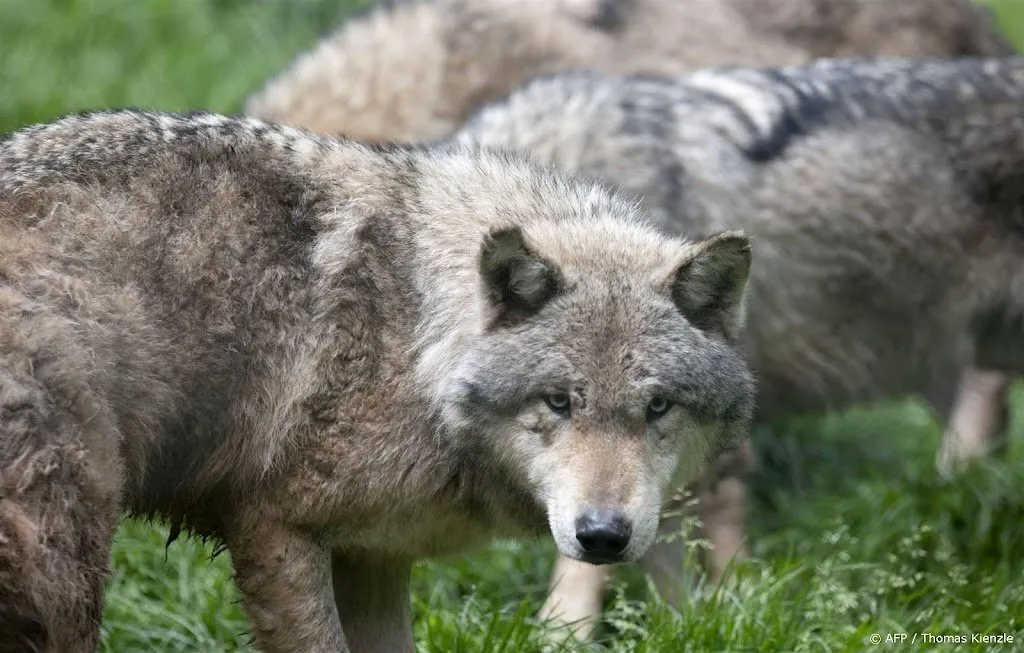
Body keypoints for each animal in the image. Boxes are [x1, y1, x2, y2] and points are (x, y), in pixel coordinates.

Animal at [0, 109, 757, 652]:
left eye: (658, 406)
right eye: (558, 401)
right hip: (65, 571)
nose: (603, 535)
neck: (415, 334)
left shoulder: (372, 555)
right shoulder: (277, 529)